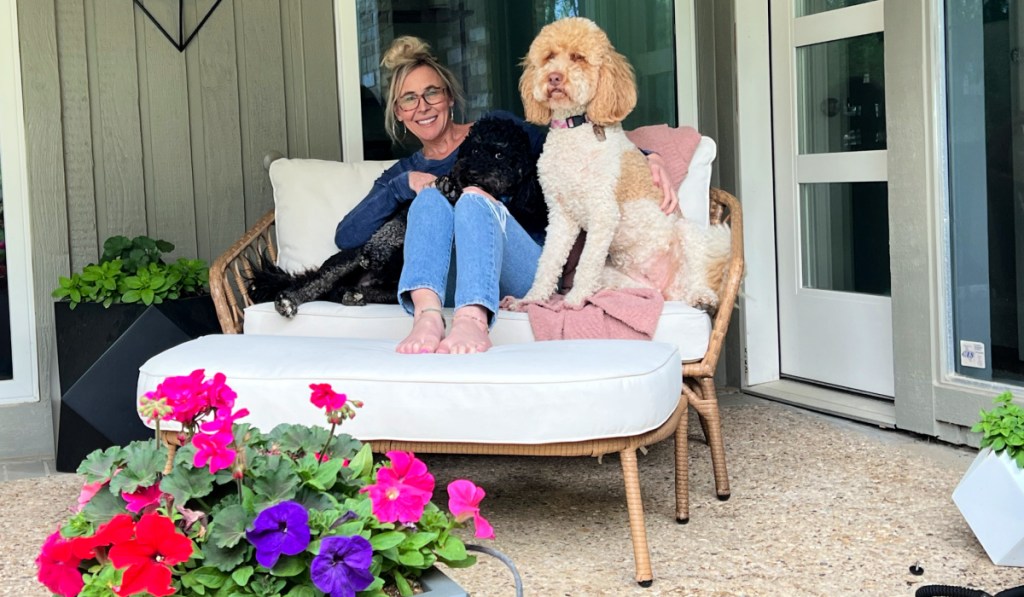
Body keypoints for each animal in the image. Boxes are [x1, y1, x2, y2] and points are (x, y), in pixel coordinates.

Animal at [245, 117, 544, 317]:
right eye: (473, 150)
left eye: (499, 154)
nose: (466, 172)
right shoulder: (412, 203)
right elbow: (395, 225)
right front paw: (378, 249)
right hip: (347, 259)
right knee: (319, 281)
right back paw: (291, 299)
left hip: (389, 289)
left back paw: (352, 295)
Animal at [520, 16, 729, 311]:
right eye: (549, 57)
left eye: (578, 57)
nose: (554, 77)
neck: (575, 128)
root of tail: (667, 289)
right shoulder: (561, 216)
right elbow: (548, 261)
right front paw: (534, 298)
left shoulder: (602, 212)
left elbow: (586, 264)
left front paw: (574, 300)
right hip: (615, 276)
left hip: (688, 232)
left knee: (697, 274)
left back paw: (702, 296)